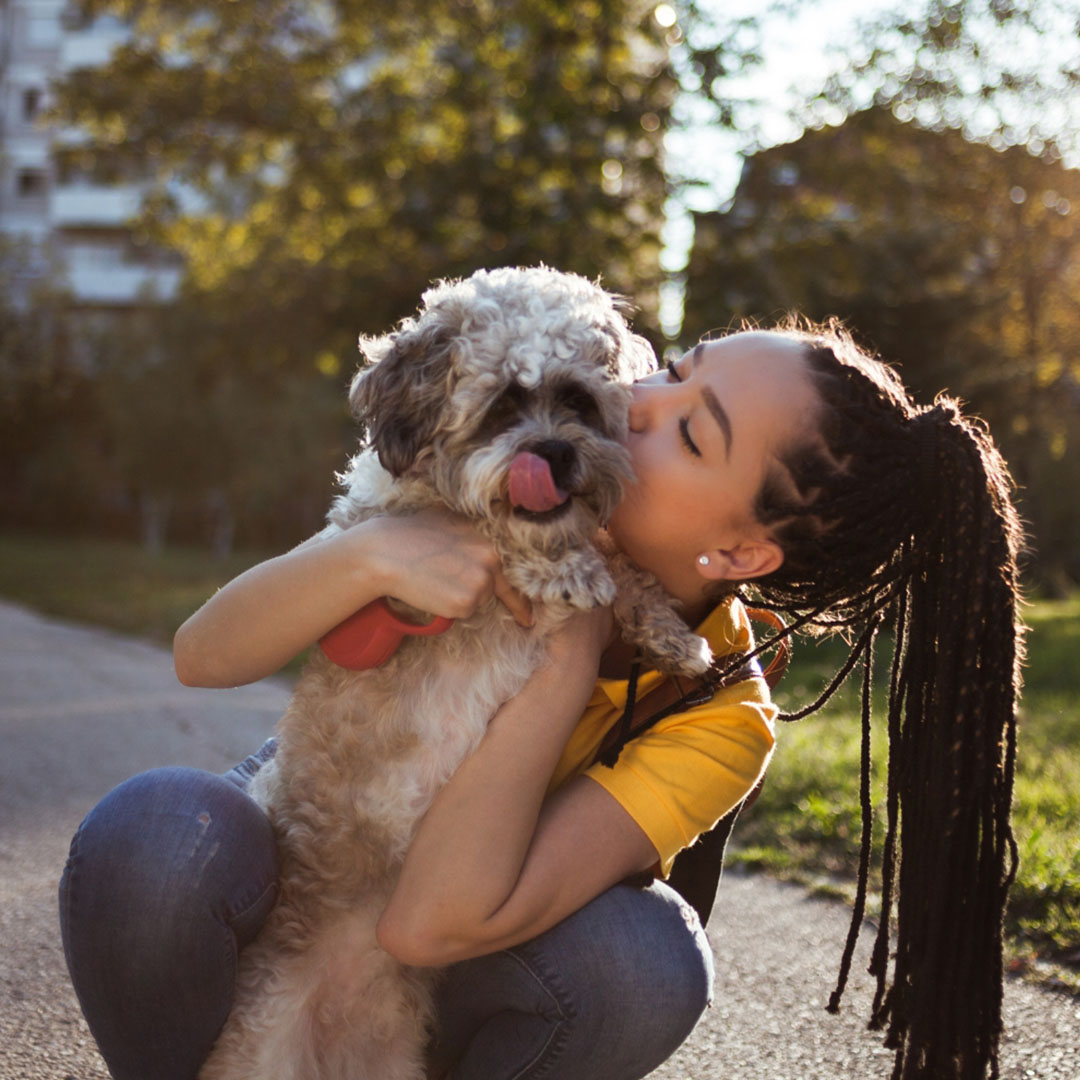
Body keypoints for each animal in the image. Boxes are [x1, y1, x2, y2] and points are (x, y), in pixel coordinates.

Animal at [198, 263, 712, 1080]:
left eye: (577, 400)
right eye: (503, 406)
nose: (554, 454)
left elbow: (626, 573)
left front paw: (668, 632)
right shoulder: (394, 559)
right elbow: (491, 537)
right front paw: (563, 568)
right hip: (256, 1049)